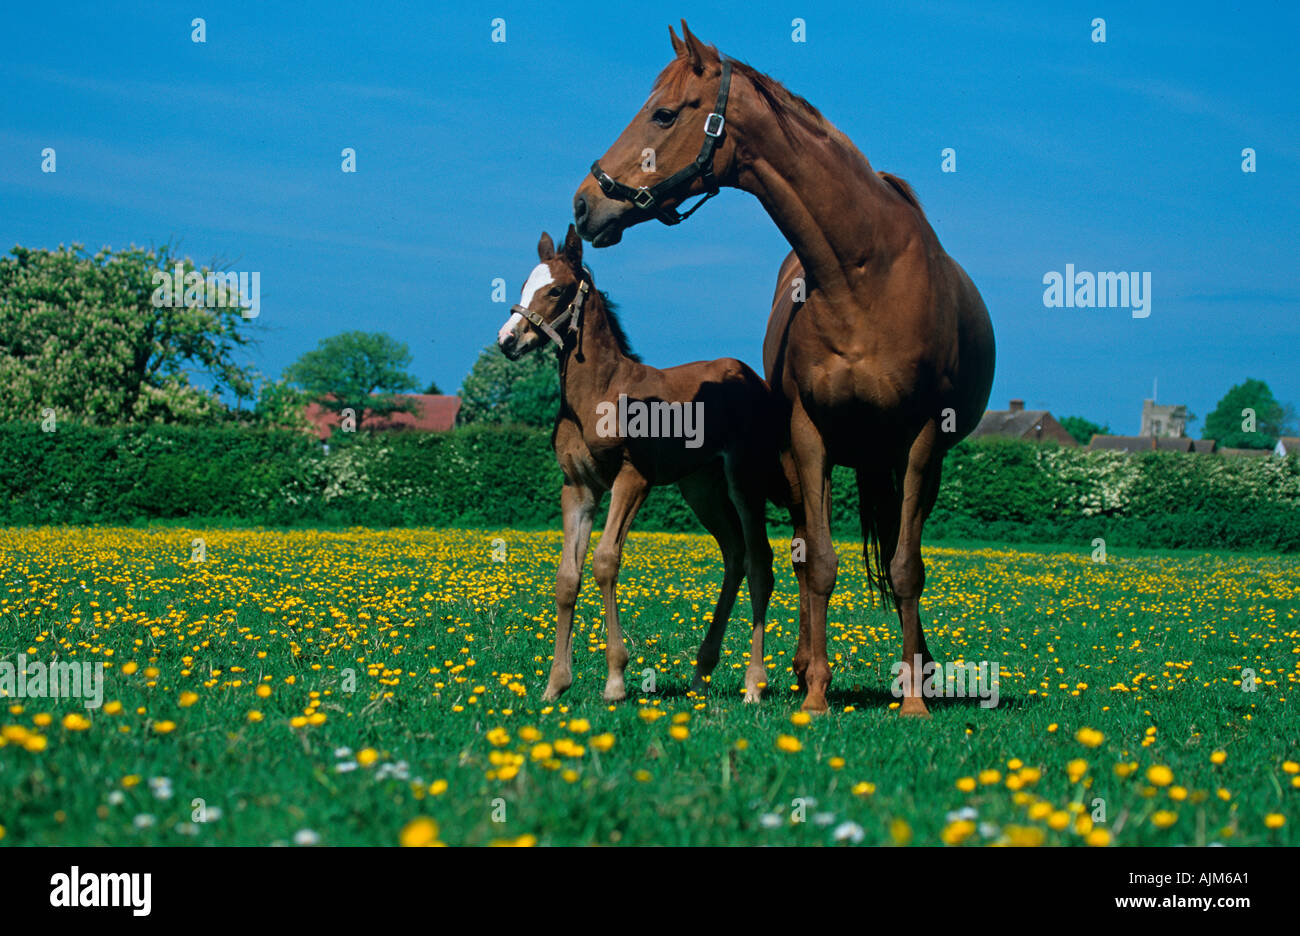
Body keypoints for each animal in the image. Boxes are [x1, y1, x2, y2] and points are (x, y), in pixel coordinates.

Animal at [496, 224, 785, 704]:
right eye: (521, 286)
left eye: (556, 290)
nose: (508, 340)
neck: (598, 392)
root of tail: (753, 379)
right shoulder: (578, 487)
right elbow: (567, 577)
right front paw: (556, 684)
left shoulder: (633, 479)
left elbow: (605, 560)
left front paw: (615, 679)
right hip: (701, 487)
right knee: (735, 554)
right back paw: (700, 675)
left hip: (744, 480)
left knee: (760, 561)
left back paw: (752, 686)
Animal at [572, 22, 996, 715]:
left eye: (664, 114)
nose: (584, 205)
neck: (863, 273)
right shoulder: (808, 435)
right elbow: (817, 562)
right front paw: (816, 693)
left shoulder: (921, 440)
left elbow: (907, 567)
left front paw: (914, 697)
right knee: (799, 551)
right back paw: (799, 667)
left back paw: (921, 668)